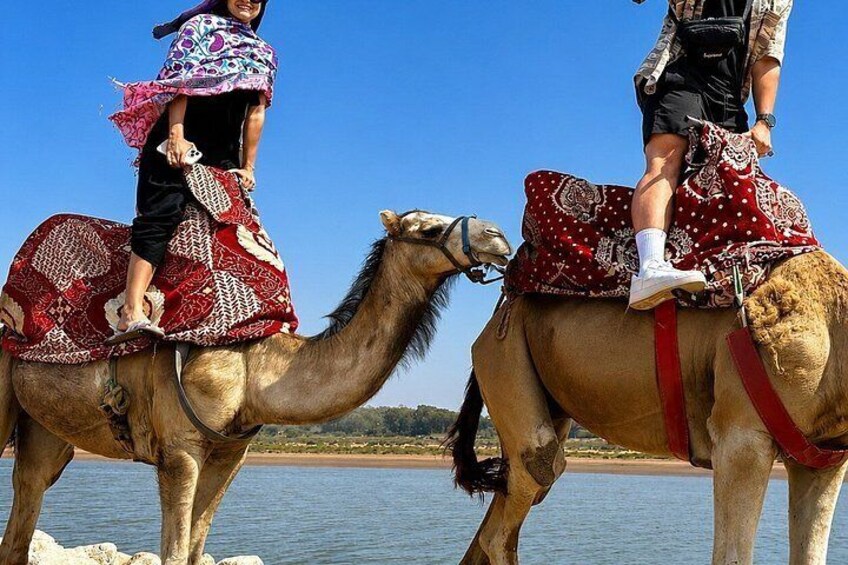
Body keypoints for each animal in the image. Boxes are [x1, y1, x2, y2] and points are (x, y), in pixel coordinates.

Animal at [0, 209, 512, 565]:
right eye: (427, 230)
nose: (498, 237)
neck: (255, 367)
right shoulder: (180, 448)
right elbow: (174, 552)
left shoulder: (231, 451)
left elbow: (194, 549)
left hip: (46, 431)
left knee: (23, 515)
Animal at [447, 250, 848, 565]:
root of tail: (497, 313)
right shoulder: (740, 437)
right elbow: (731, 556)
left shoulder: (823, 457)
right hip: (504, 352)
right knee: (529, 480)